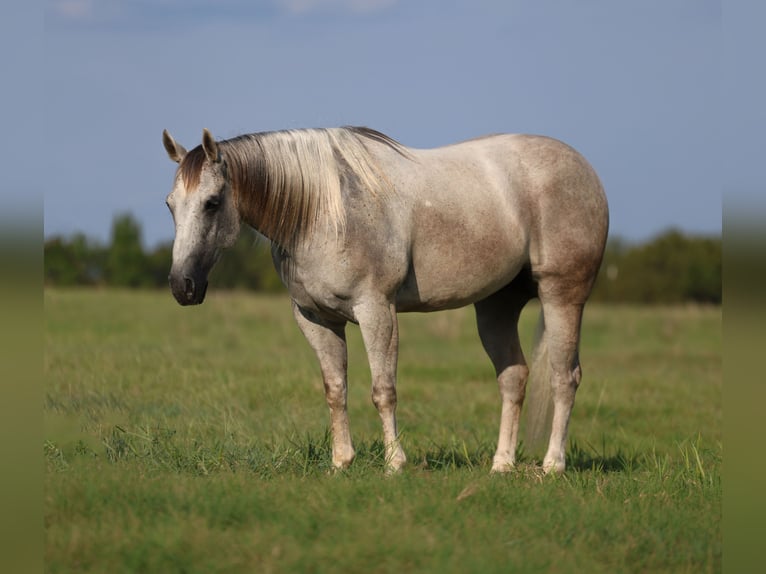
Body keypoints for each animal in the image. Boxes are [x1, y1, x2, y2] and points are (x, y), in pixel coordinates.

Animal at [161, 126, 608, 474]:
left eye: (212, 203)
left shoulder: (376, 309)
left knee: (565, 376)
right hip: (496, 306)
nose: (182, 287)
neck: (324, 211)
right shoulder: (315, 318)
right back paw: (502, 465)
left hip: (562, 294)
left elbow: (383, 389)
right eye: (170, 206)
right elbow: (335, 389)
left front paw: (395, 463)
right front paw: (341, 461)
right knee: (514, 377)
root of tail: (585, 170)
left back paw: (553, 465)